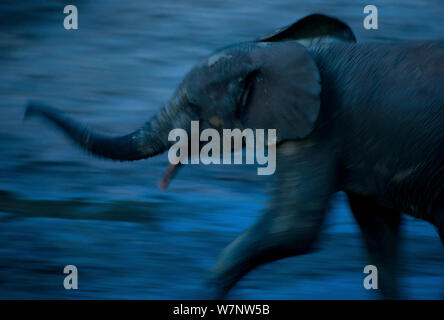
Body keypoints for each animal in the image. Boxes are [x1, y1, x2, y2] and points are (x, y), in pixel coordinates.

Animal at [25, 13, 444, 298]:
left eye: (192, 106)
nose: (27, 110)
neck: (277, 51)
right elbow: (379, 235)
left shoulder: (321, 128)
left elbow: (292, 229)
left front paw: (201, 296)